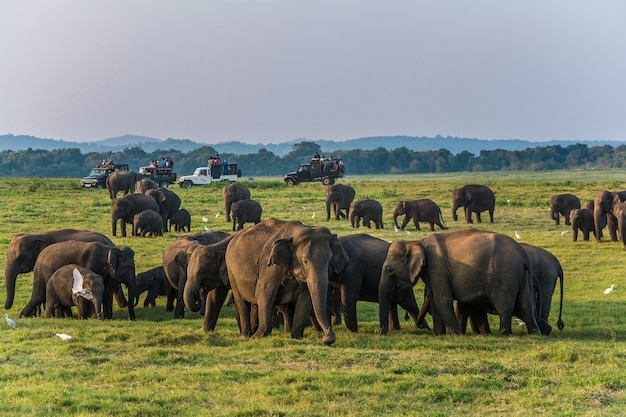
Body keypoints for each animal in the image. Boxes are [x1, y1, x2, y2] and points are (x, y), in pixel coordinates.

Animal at [378, 226, 540, 336]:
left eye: (390, 270)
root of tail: (523, 254)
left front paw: (454, 334)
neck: (417, 241)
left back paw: (504, 333)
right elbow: (436, 300)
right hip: (521, 276)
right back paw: (534, 333)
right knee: (525, 304)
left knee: (504, 304)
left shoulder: (437, 267)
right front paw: (440, 335)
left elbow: (442, 300)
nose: (382, 333)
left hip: (504, 274)